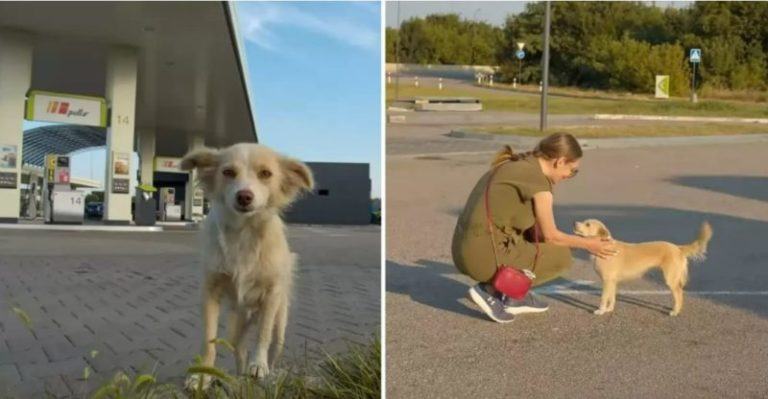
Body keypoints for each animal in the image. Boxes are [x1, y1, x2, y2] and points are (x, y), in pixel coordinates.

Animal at [180, 142, 312, 390]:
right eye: (228, 172)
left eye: (266, 174)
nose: (244, 196)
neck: (244, 232)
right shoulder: (210, 291)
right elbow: (209, 339)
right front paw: (202, 375)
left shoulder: (271, 295)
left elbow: (263, 335)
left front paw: (259, 365)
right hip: (235, 329)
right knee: (239, 350)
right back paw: (239, 375)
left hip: (280, 323)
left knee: (273, 345)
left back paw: (269, 369)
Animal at [572, 220, 712, 318]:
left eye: (588, 224)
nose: (574, 223)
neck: (605, 246)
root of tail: (678, 248)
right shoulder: (612, 282)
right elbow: (611, 298)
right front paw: (609, 309)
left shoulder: (607, 281)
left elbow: (603, 298)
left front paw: (600, 311)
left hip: (670, 279)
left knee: (679, 294)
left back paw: (675, 311)